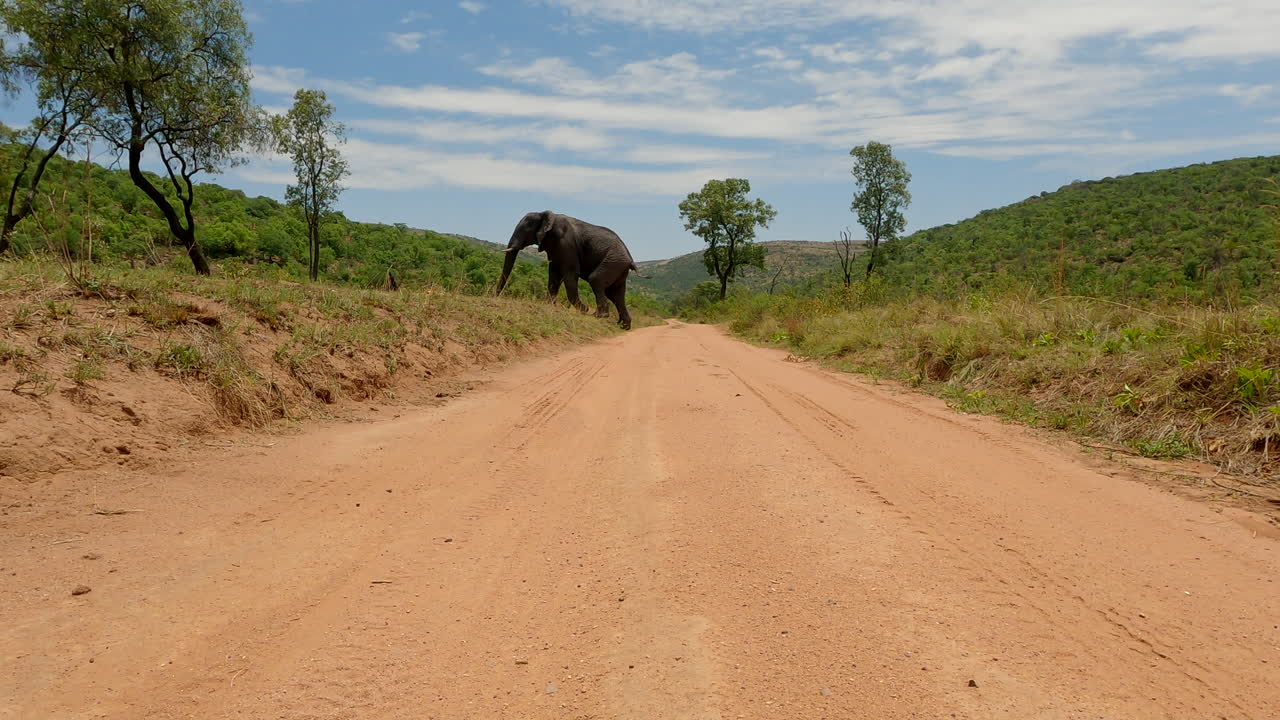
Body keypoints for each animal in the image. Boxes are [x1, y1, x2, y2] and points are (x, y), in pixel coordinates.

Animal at [495, 210, 642, 330]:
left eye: (524, 230)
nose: (495, 297)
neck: (545, 215)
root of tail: (630, 260)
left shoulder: (566, 244)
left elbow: (570, 273)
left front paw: (584, 310)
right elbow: (554, 275)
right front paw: (548, 305)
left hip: (613, 262)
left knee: (596, 280)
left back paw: (598, 316)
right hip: (618, 267)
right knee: (616, 294)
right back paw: (623, 325)